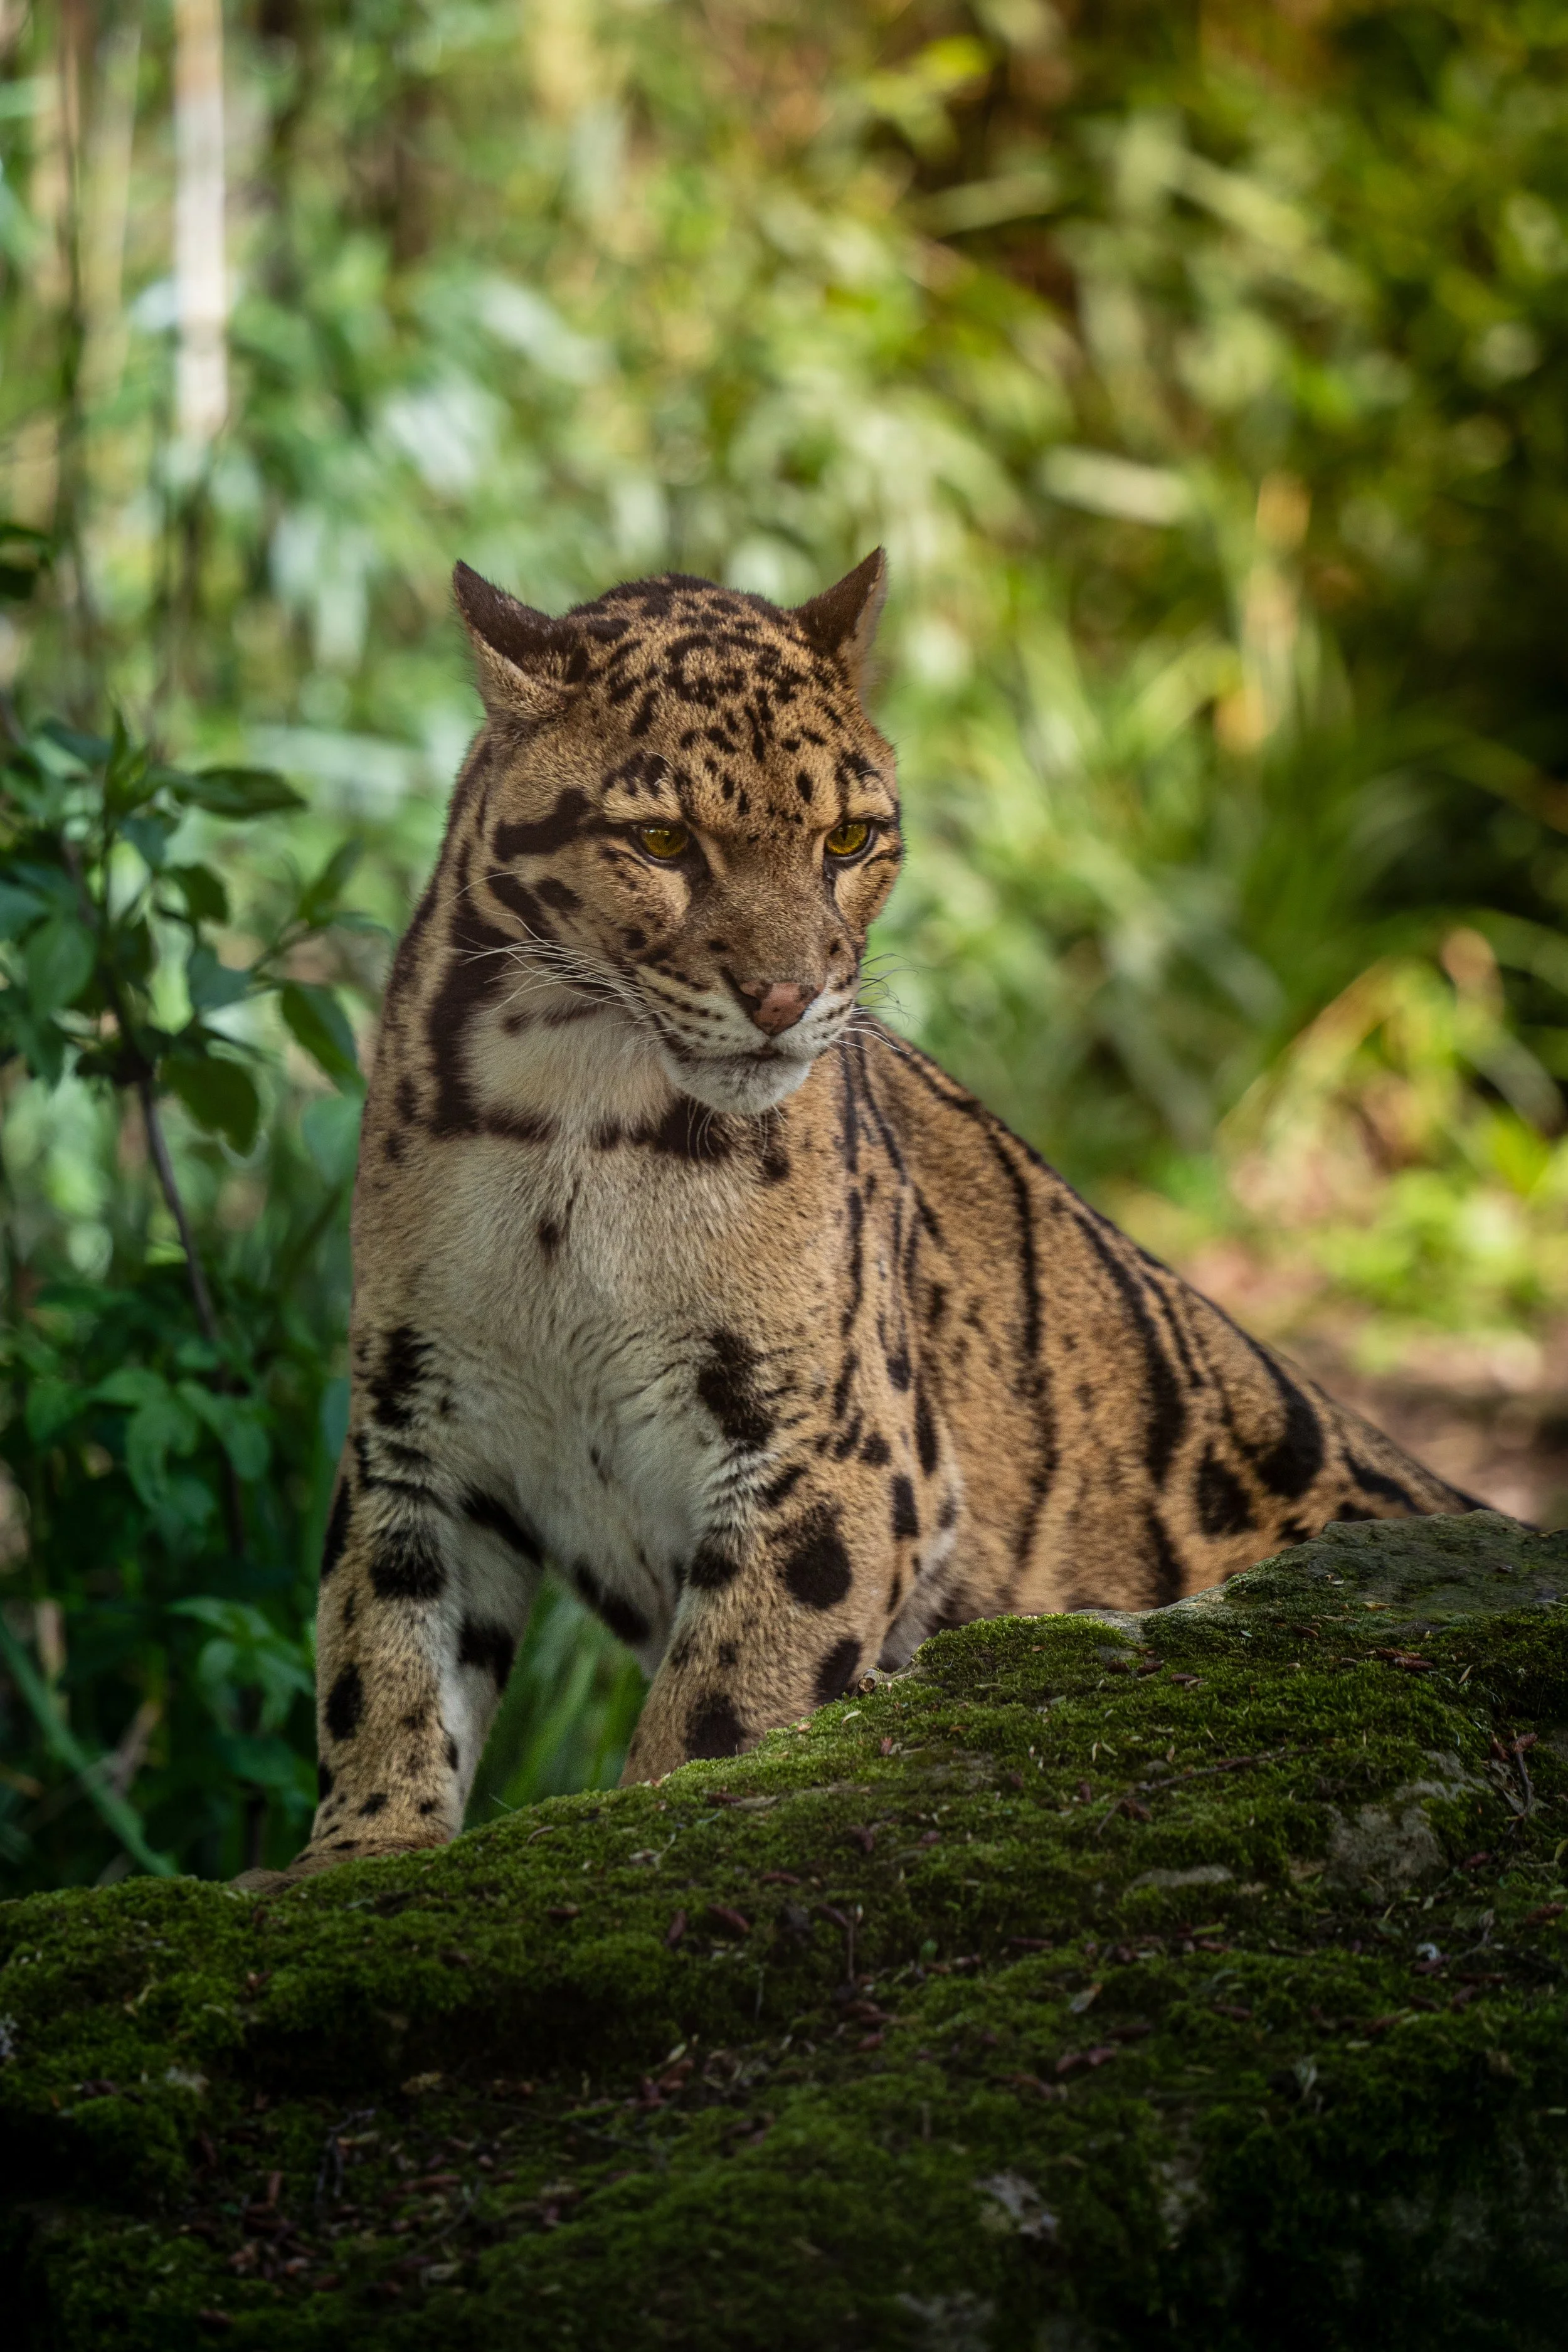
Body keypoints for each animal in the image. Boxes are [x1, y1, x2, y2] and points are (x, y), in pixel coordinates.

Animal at [260, 549, 1477, 1884]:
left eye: (848, 837)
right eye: (660, 839)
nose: (788, 996)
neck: (575, 1123)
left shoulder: (830, 1447)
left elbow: (720, 1707)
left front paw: (645, 1833)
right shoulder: (421, 1421)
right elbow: (382, 1654)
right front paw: (359, 1858)